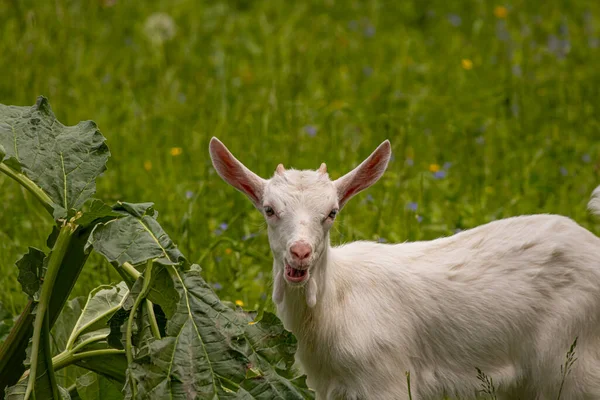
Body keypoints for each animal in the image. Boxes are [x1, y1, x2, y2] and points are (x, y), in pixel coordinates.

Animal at [209, 136, 600, 398]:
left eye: (332, 212)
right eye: (269, 209)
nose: (301, 252)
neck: (335, 305)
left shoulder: (386, 381)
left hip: (574, 361)